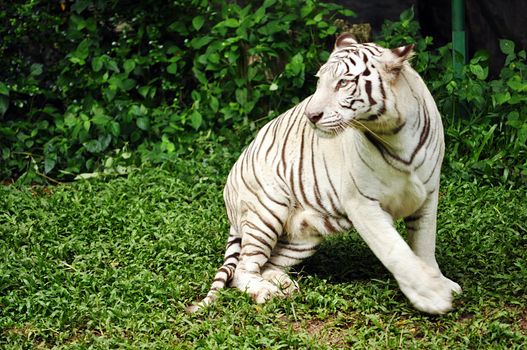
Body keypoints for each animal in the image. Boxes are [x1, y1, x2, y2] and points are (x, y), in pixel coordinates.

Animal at [191, 33, 462, 314]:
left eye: (343, 82)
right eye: (320, 81)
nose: (311, 115)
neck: (394, 134)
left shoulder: (428, 194)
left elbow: (424, 244)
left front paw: (440, 282)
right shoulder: (362, 203)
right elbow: (395, 249)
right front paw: (432, 295)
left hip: (304, 236)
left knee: (268, 264)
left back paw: (285, 285)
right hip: (266, 211)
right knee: (243, 269)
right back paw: (267, 292)